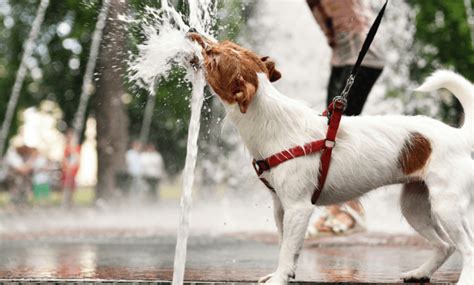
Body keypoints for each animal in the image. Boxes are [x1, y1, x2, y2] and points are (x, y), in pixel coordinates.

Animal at [187, 32, 472, 282]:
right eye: (224, 44)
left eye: (213, 57)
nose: (192, 32)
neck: (272, 121)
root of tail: (457, 135)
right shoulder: (281, 206)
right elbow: (284, 246)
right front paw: (283, 274)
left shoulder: (299, 208)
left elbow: (287, 249)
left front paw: (279, 279)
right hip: (415, 206)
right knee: (446, 245)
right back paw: (420, 272)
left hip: (445, 206)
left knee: (466, 248)